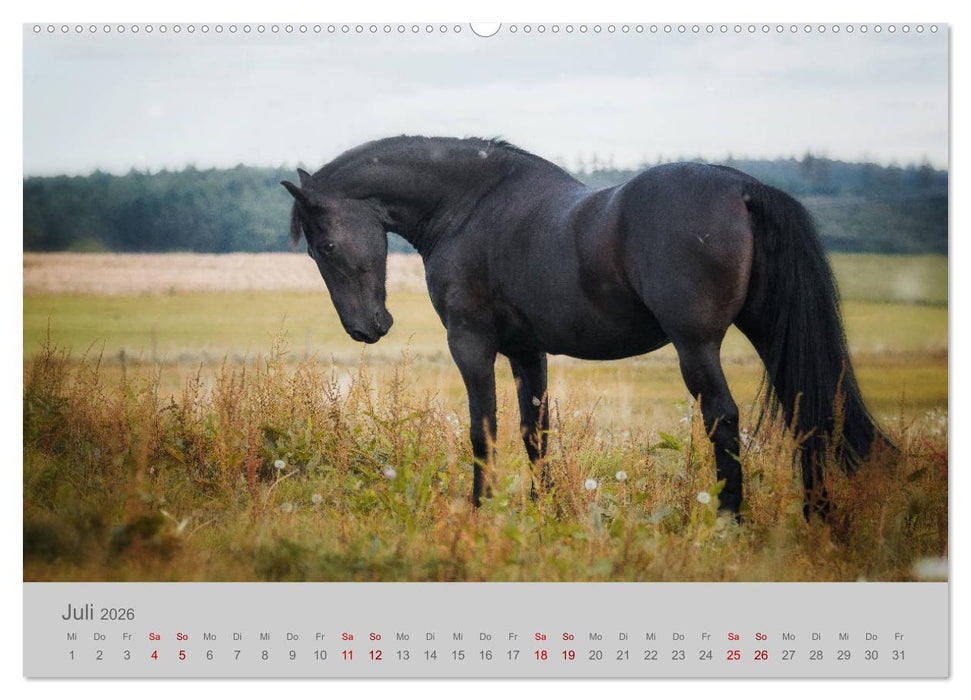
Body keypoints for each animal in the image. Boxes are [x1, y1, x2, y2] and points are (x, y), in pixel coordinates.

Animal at [282, 135, 887, 519]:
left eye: (325, 246)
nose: (366, 328)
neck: (470, 206)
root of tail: (741, 188)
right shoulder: (526, 352)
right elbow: (536, 432)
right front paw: (544, 511)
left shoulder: (471, 344)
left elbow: (484, 430)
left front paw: (480, 511)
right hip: (768, 333)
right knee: (808, 411)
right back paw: (817, 515)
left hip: (697, 348)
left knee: (723, 418)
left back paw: (729, 520)